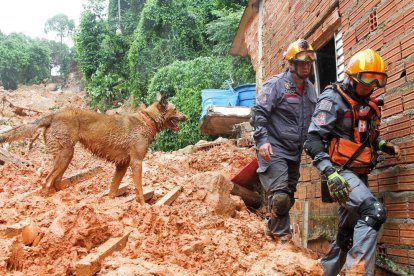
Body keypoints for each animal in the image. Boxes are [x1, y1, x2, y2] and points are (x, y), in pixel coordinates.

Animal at [0, 95, 188, 205]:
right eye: (176, 109)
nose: (187, 116)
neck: (147, 121)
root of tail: (53, 115)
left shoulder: (122, 165)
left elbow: (113, 190)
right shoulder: (136, 163)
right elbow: (140, 190)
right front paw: (143, 207)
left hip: (65, 157)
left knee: (55, 182)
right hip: (65, 154)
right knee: (47, 182)